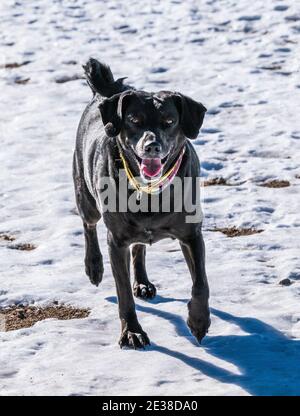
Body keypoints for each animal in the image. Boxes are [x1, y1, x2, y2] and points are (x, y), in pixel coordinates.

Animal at [73, 57, 210, 346]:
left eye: (170, 120)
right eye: (134, 120)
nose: (152, 146)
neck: (150, 191)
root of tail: (107, 92)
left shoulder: (192, 235)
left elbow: (201, 284)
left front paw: (199, 321)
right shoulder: (116, 242)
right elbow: (123, 293)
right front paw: (132, 331)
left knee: (139, 247)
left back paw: (143, 282)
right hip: (85, 193)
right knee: (89, 224)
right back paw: (93, 266)